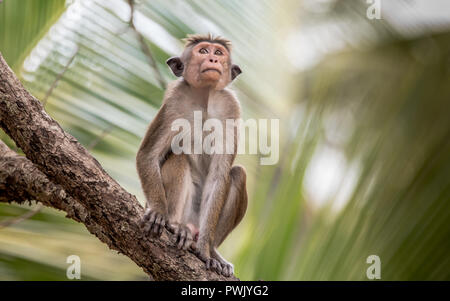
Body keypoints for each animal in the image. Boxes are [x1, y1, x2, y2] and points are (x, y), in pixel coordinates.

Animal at [137, 34, 248, 276]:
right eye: (203, 51)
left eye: (218, 53)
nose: (213, 60)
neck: (204, 99)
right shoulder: (174, 103)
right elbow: (148, 156)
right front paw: (157, 211)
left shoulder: (230, 108)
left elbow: (219, 176)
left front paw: (206, 252)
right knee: (178, 158)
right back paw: (174, 226)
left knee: (237, 174)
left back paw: (211, 249)